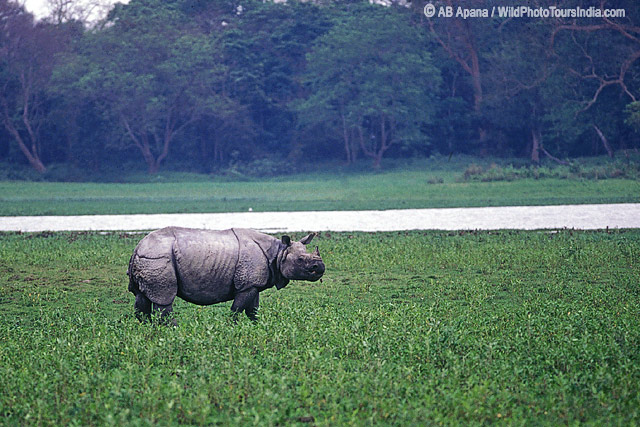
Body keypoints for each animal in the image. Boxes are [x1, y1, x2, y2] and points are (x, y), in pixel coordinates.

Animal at [127, 227, 324, 322]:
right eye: (301, 260)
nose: (321, 267)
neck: (279, 252)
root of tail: (138, 246)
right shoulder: (246, 285)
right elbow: (237, 310)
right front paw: (231, 329)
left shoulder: (253, 284)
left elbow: (253, 311)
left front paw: (260, 327)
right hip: (158, 257)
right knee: (164, 299)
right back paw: (175, 331)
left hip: (147, 258)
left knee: (141, 297)